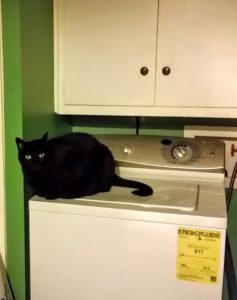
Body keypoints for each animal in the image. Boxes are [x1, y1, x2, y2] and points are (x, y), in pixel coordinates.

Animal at [15, 132, 153, 199]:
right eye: (28, 156)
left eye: (42, 154)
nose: (36, 162)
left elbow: (64, 188)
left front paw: (53, 193)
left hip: (104, 157)